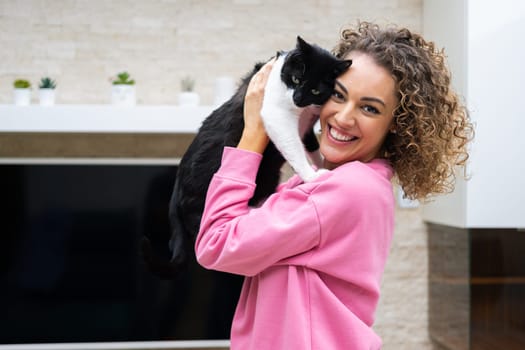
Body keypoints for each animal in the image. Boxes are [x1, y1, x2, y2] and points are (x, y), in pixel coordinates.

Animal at [141, 35, 350, 276]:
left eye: (316, 90)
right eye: (296, 79)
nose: (297, 99)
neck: (302, 112)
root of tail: (176, 187)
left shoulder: (307, 127)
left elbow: (312, 145)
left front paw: (319, 163)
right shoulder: (276, 115)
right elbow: (294, 147)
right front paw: (312, 176)